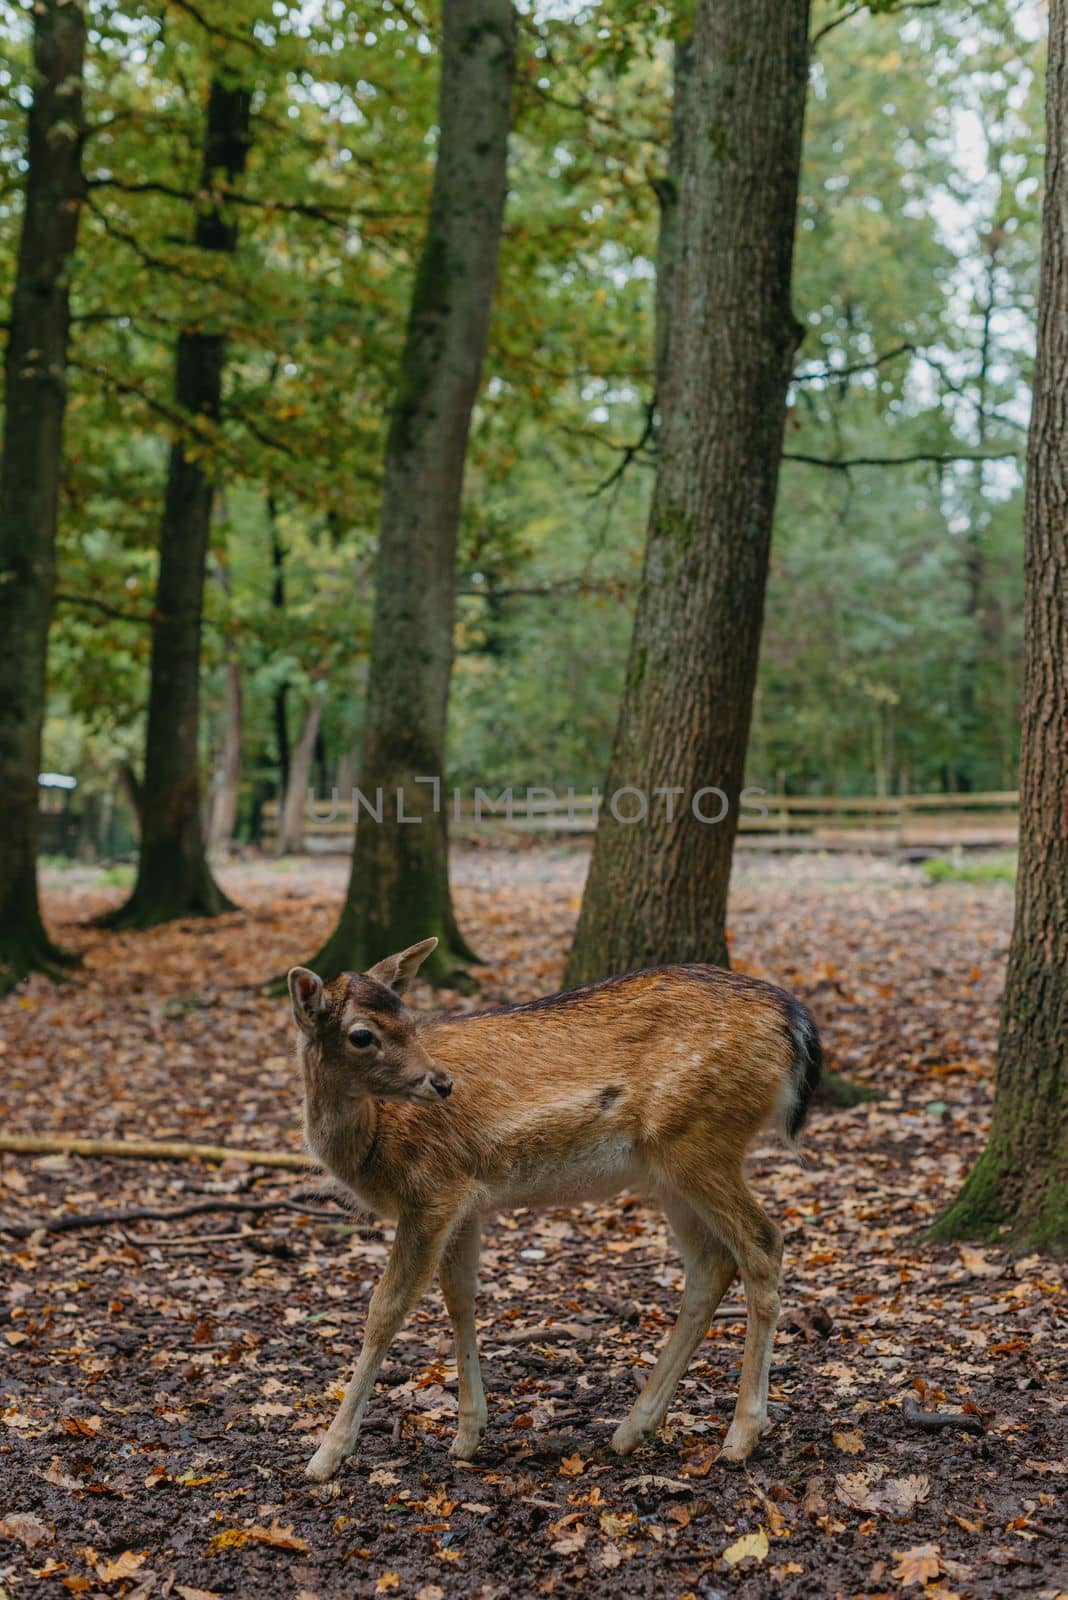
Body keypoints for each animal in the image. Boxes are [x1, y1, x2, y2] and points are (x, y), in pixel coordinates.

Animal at [287, 934, 824, 1484]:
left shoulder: (430, 1191)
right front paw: (468, 1435)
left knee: (763, 1243)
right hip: (671, 1170)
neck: (371, 1144)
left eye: (409, 1019)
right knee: (710, 1264)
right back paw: (633, 1428)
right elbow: (459, 1298)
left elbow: (385, 1310)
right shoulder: (462, 1201)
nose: (441, 1082)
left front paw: (326, 1455)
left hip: (701, 1141)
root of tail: (795, 1021)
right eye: (361, 1035)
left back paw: (741, 1435)